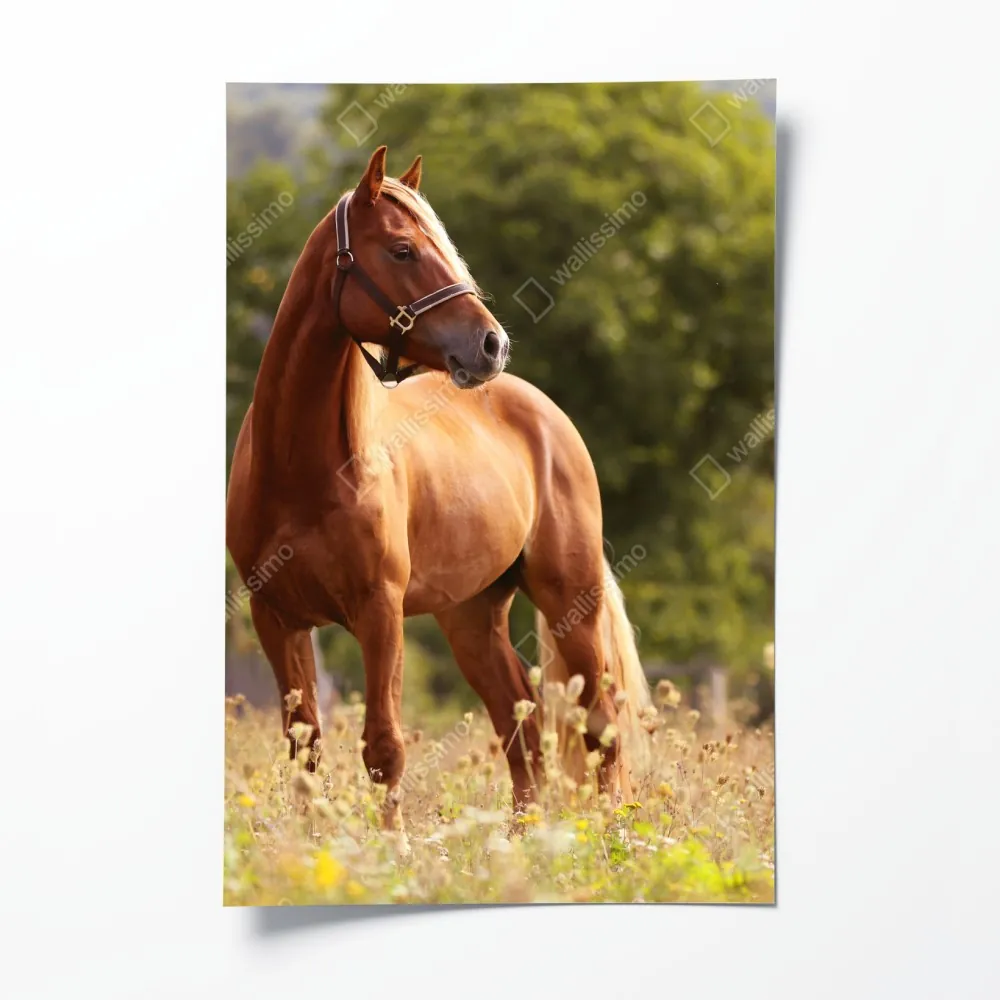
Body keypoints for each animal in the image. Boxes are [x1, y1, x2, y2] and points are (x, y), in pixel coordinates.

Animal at [226, 146, 651, 833]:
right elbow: (305, 749)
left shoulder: (379, 611)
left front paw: (392, 849)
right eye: (402, 250)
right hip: (472, 616)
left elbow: (384, 747)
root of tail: (545, 414)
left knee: (600, 726)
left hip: (571, 600)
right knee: (521, 727)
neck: (304, 472)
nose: (491, 344)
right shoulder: (277, 618)